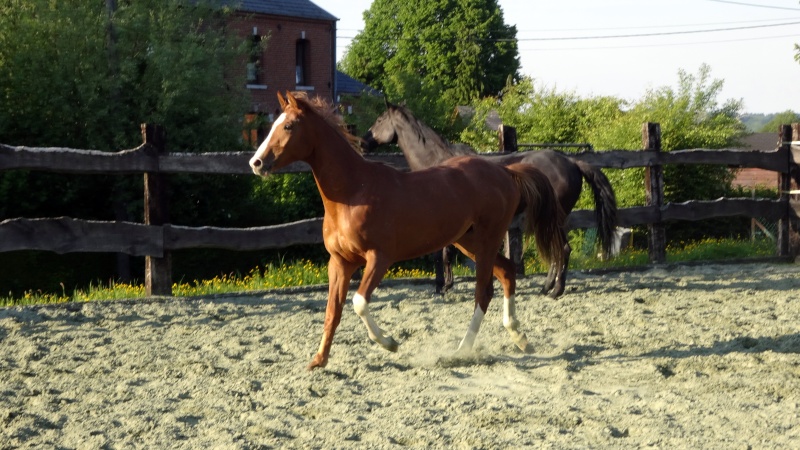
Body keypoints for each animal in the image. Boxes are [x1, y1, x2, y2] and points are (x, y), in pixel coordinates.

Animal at [247, 91, 564, 370]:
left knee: (483, 292)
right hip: (468, 241)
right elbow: (332, 311)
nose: (256, 163)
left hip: (487, 239)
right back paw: (520, 338)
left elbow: (359, 302)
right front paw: (318, 361)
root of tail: (505, 172)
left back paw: (462, 350)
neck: (353, 192)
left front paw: (390, 343)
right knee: (507, 272)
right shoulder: (340, 262)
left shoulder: (379, 258)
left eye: (288, 126)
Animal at [362, 102, 620, 298]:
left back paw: (556, 290)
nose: (363, 143)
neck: (438, 163)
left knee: (562, 250)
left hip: (553, 219)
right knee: (556, 251)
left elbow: (445, 255)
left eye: (379, 120)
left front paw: (445, 287)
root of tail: (571, 162)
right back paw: (546, 288)